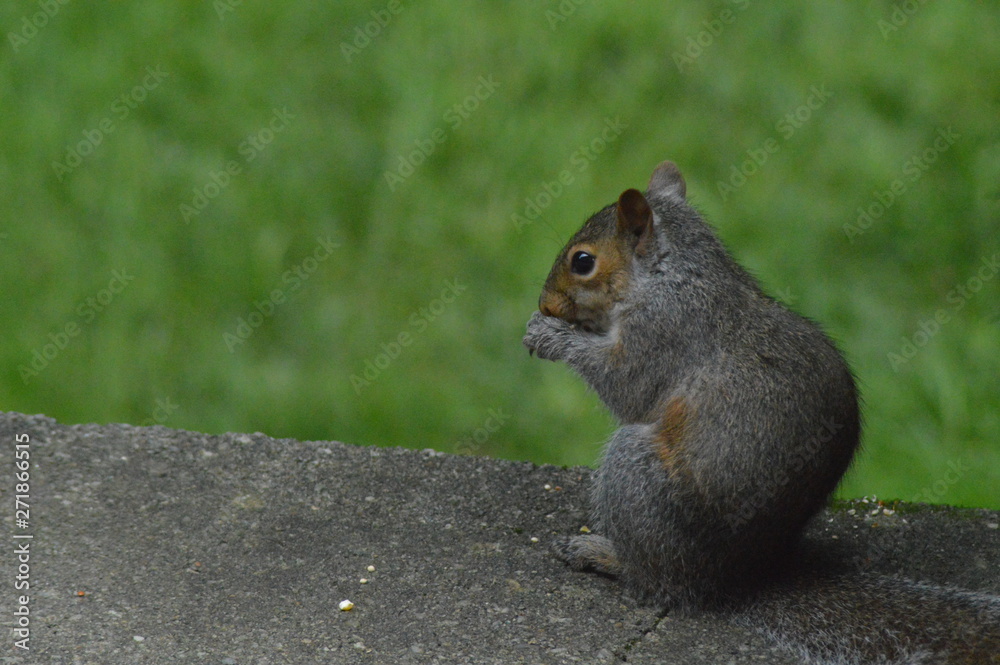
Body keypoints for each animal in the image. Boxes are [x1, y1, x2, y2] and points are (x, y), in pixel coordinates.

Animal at [522, 160, 1000, 664]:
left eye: (582, 261)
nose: (544, 303)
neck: (671, 278)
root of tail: (735, 581)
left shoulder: (662, 335)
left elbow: (627, 386)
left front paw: (550, 335)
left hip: (636, 476)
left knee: (657, 582)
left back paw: (604, 553)